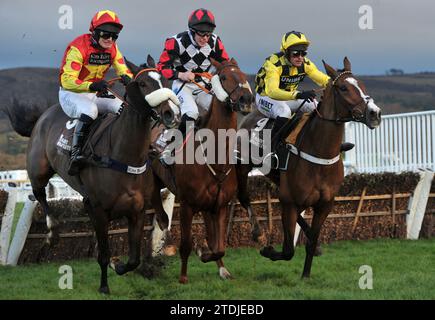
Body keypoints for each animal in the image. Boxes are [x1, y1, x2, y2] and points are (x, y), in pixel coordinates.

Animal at [26, 55, 180, 292]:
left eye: (164, 80)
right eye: (143, 83)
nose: (170, 113)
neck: (124, 156)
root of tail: (44, 114)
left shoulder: (136, 212)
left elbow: (134, 259)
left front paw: (120, 266)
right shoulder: (98, 210)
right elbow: (104, 254)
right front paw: (104, 286)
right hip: (39, 170)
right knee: (39, 193)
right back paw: (52, 232)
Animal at [152, 57, 254, 282]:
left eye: (243, 75)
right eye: (223, 77)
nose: (247, 99)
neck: (215, 159)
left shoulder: (220, 205)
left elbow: (219, 245)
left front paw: (214, 261)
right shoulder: (187, 205)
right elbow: (186, 244)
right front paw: (183, 277)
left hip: (208, 205)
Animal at [237, 57, 384, 278]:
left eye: (362, 85)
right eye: (343, 88)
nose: (374, 113)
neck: (320, 153)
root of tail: (249, 116)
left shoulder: (324, 204)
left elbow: (312, 240)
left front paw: (306, 275)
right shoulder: (290, 201)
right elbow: (288, 250)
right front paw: (268, 250)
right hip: (243, 165)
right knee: (243, 196)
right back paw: (256, 232)